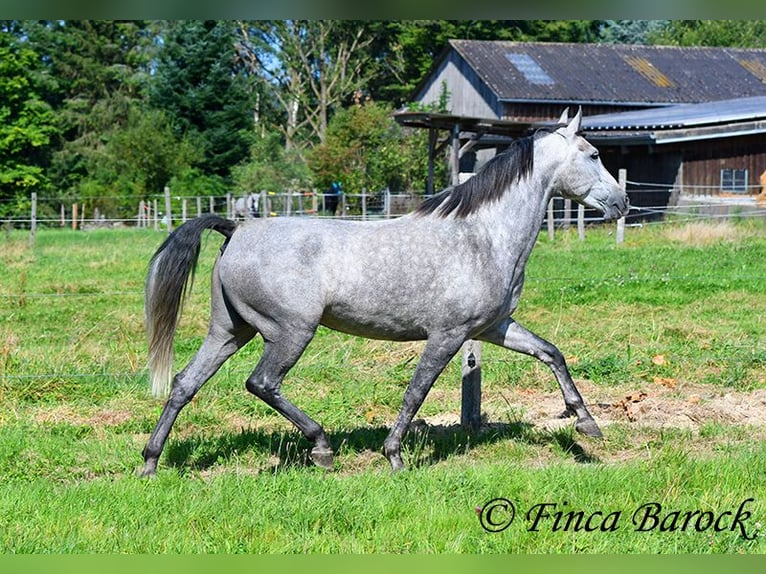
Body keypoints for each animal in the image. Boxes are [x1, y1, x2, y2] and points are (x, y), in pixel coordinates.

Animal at [142, 108, 632, 476]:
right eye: (593, 154)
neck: (483, 236)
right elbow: (416, 391)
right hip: (291, 331)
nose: (623, 203)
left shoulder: (494, 327)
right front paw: (394, 455)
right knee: (261, 383)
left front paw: (586, 423)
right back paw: (322, 448)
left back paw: (149, 462)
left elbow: (552, 353)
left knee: (185, 383)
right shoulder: (448, 335)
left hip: (229, 330)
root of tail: (236, 228)